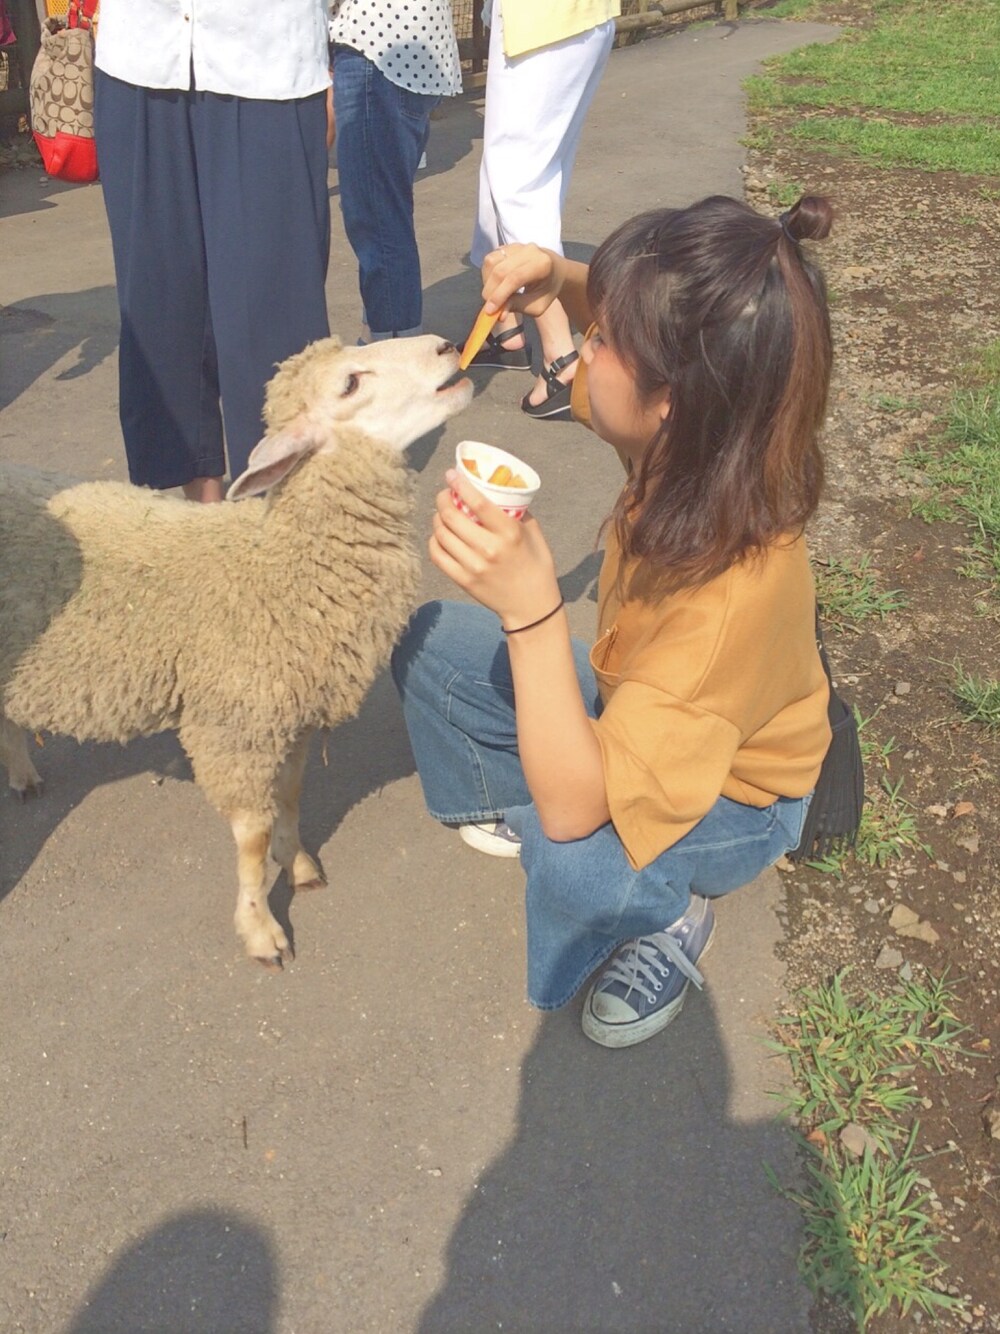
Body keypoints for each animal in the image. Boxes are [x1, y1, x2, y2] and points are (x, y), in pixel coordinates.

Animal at [0, 334, 473, 967]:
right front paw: (260, 928)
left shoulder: (290, 716)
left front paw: (298, 865)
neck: (279, 565)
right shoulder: (237, 726)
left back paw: (22, 772)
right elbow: (252, 836)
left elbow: (291, 799)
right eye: (349, 384)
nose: (447, 346)